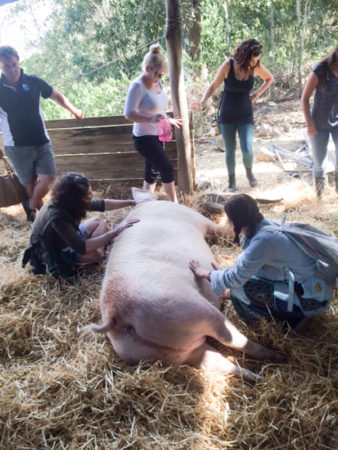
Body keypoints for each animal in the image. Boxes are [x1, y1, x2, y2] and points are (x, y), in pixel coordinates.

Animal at [80, 200, 284, 380]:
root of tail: (116, 315)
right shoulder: (199, 219)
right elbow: (219, 227)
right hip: (191, 308)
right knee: (231, 338)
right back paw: (276, 355)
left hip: (163, 353)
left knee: (217, 361)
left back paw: (257, 377)